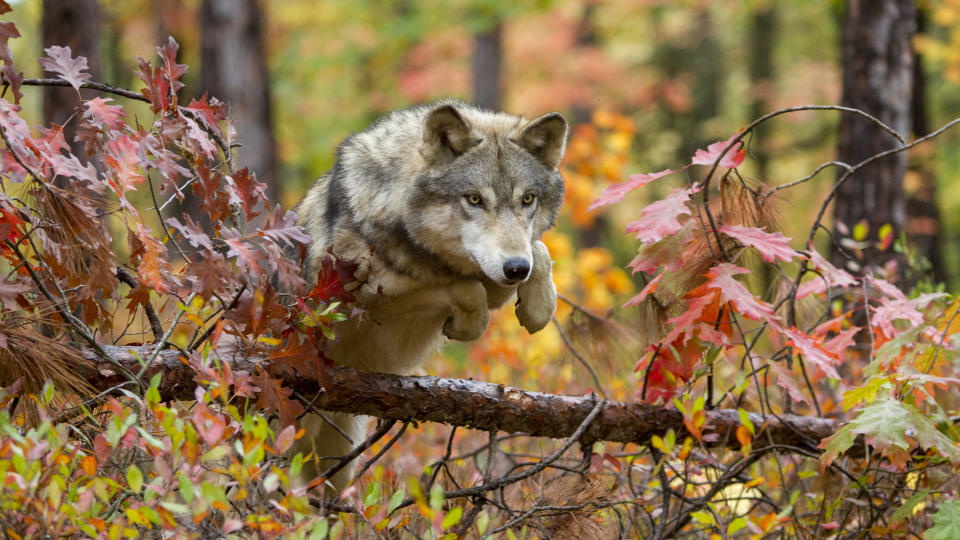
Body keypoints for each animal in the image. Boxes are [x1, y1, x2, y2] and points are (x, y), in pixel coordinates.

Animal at [290, 101, 564, 490]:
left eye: (527, 199)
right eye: (474, 199)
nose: (515, 269)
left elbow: (538, 251)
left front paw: (539, 307)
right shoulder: (364, 304)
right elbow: (466, 290)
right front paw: (466, 325)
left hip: (339, 458)